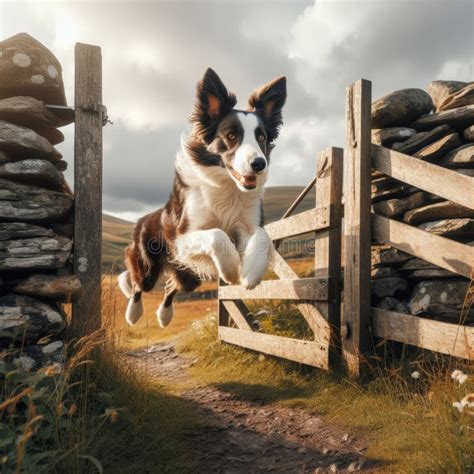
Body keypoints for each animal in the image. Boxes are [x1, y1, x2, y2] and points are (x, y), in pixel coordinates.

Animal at [120, 67, 286, 326]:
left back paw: (164, 315)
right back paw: (133, 313)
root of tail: (145, 218)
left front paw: (250, 272)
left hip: (189, 273)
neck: (228, 188)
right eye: (231, 136)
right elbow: (217, 234)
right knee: (139, 285)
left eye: (261, 138)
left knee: (172, 286)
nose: (259, 164)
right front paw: (231, 269)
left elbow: (261, 235)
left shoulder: (246, 225)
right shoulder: (182, 238)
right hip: (149, 263)